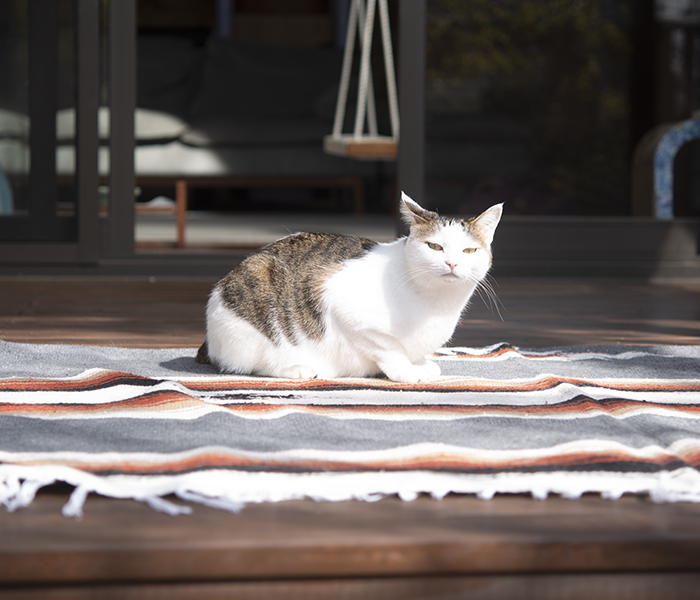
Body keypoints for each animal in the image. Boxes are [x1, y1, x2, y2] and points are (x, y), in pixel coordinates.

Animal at [196, 192, 502, 383]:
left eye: (469, 250)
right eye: (434, 246)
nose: (451, 263)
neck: (438, 302)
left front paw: (418, 363)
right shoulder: (348, 311)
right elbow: (389, 347)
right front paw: (407, 371)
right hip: (252, 304)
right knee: (250, 364)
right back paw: (297, 369)